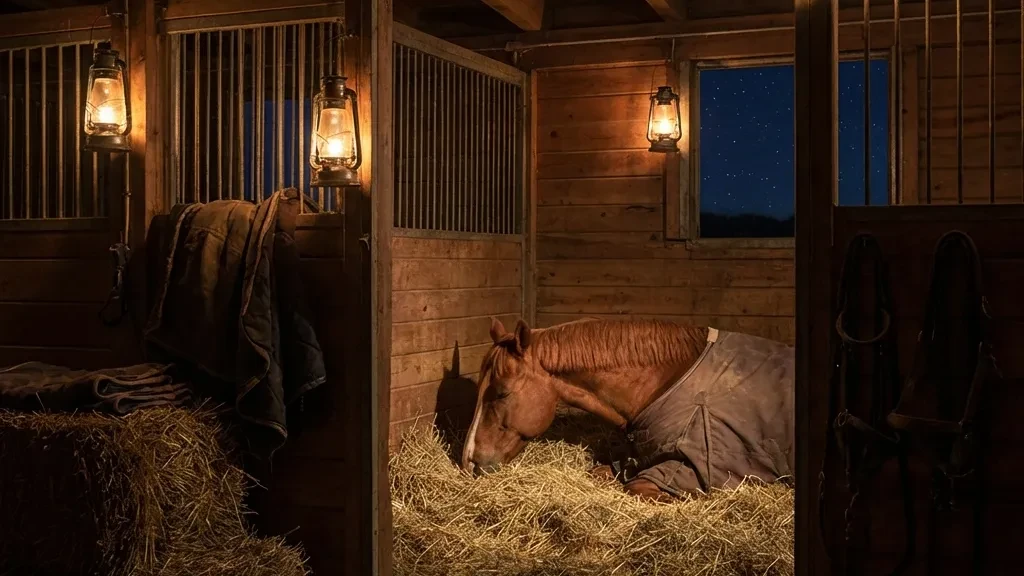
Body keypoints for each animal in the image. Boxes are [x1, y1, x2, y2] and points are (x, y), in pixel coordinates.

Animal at [460, 317, 795, 501]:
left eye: (501, 393)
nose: (469, 462)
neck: (669, 381)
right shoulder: (633, 458)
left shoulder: (688, 469)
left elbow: (636, 488)